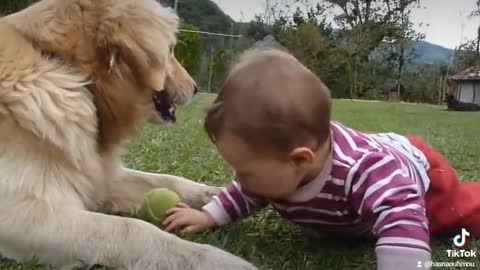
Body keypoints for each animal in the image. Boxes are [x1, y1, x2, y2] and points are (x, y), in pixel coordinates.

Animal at [0, 0, 255, 270]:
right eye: (170, 50)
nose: (196, 88)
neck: (74, 75)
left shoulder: (99, 175)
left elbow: (167, 180)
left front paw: (218, 194)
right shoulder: (20, 214)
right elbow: (131, 229)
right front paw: (216, 259)